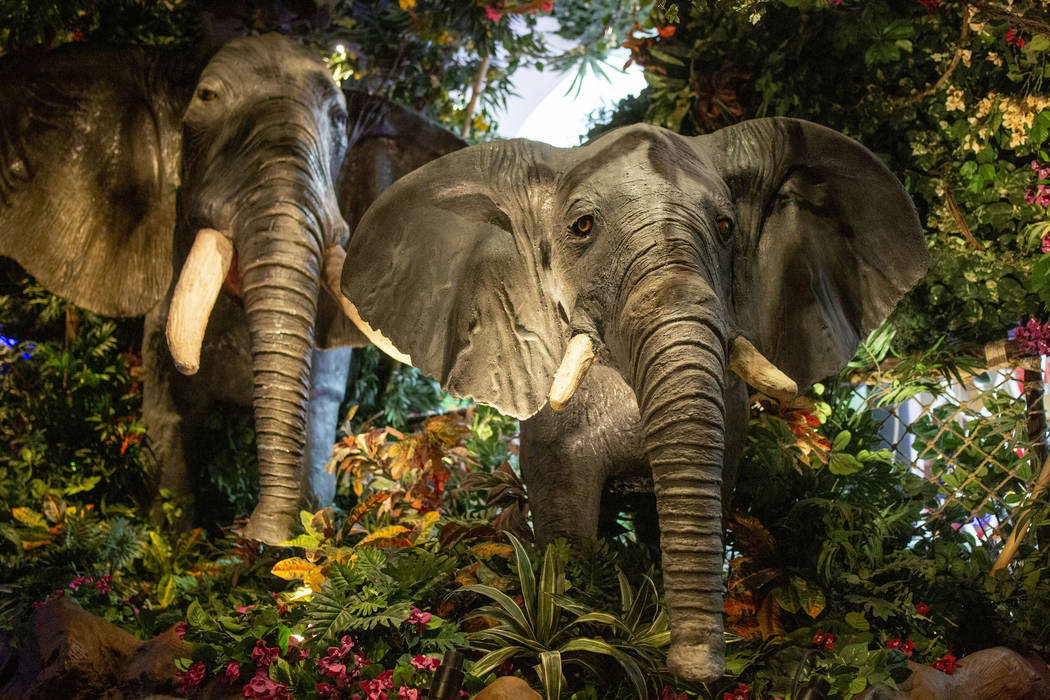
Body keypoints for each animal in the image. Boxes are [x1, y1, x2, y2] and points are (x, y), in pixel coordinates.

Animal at [0, 32, 461, 545]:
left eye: (340, 121)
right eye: (205, 98)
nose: (262, 533)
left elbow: (319, 419)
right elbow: (168, 416)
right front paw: (177, 544)